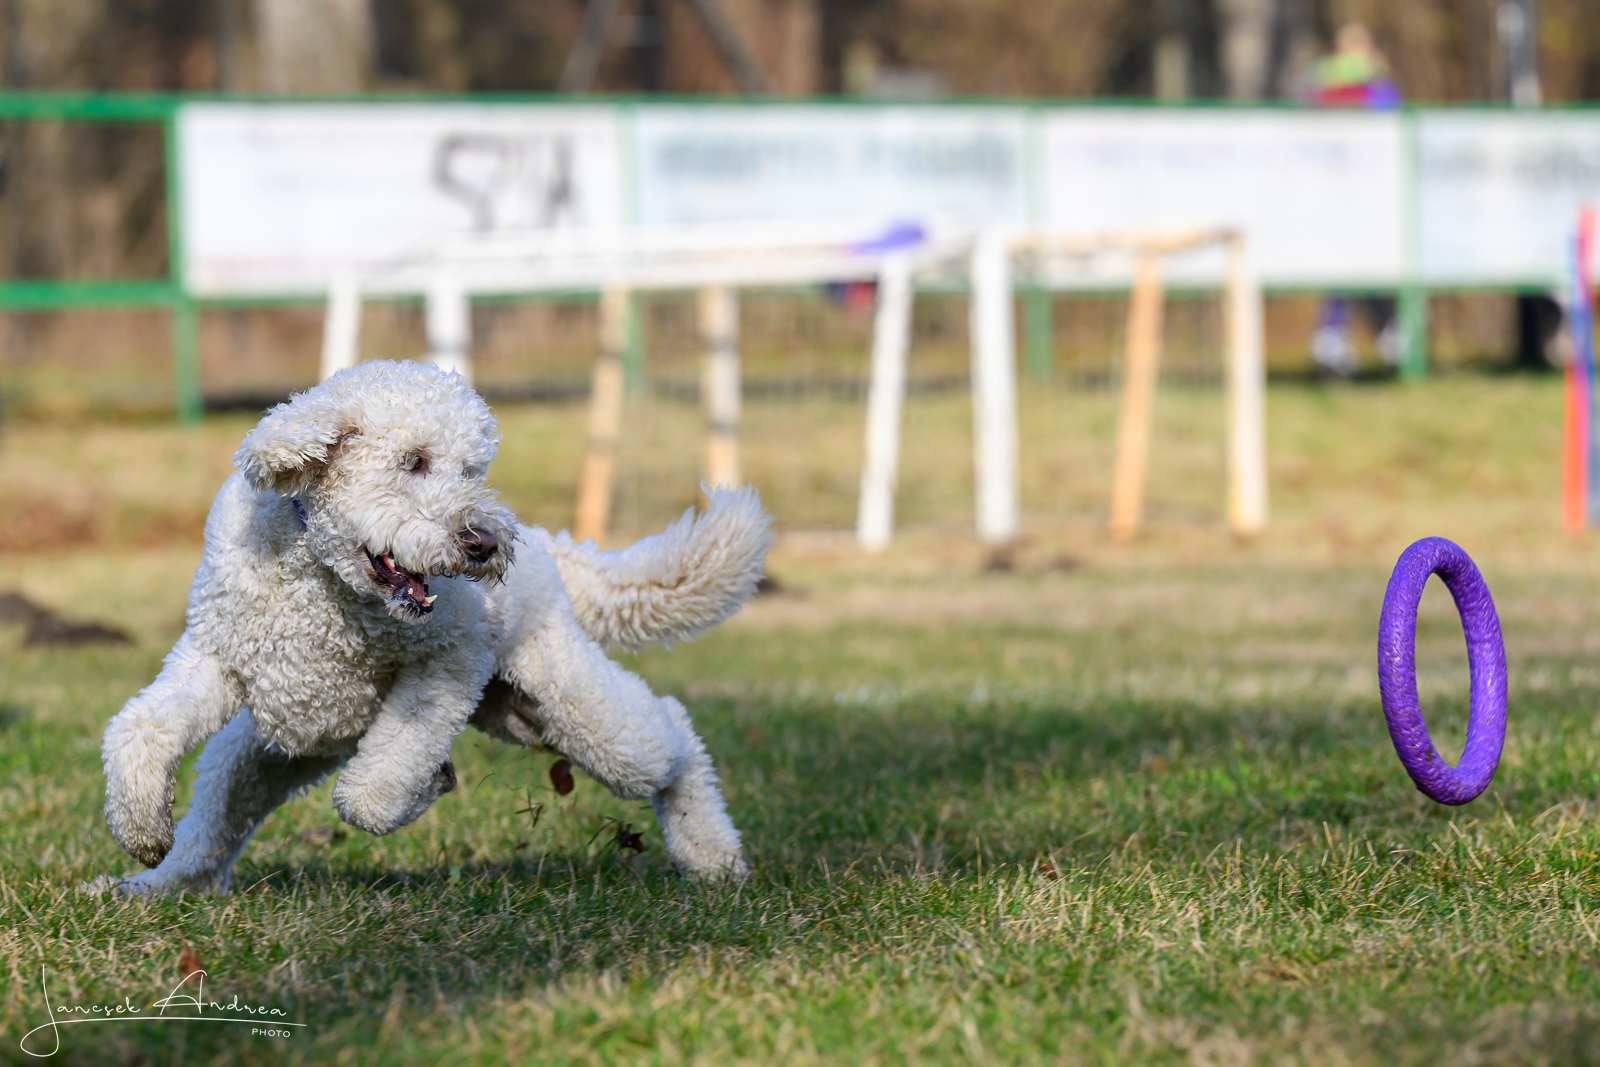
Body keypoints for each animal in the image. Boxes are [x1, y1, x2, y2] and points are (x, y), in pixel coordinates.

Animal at [101, 363, 774, 895]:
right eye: (414, 461)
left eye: (472, 469)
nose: (485, 543)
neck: (317, 578)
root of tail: (552, 550)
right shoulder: (217, 659)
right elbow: (139, 728)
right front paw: (140, 830)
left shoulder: (449, 663)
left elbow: (369, 795)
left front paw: (430, 783)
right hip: (262, 758)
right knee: (210, 838)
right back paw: (153, 885)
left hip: (571, 706)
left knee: (673, 737)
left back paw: (713, 858)